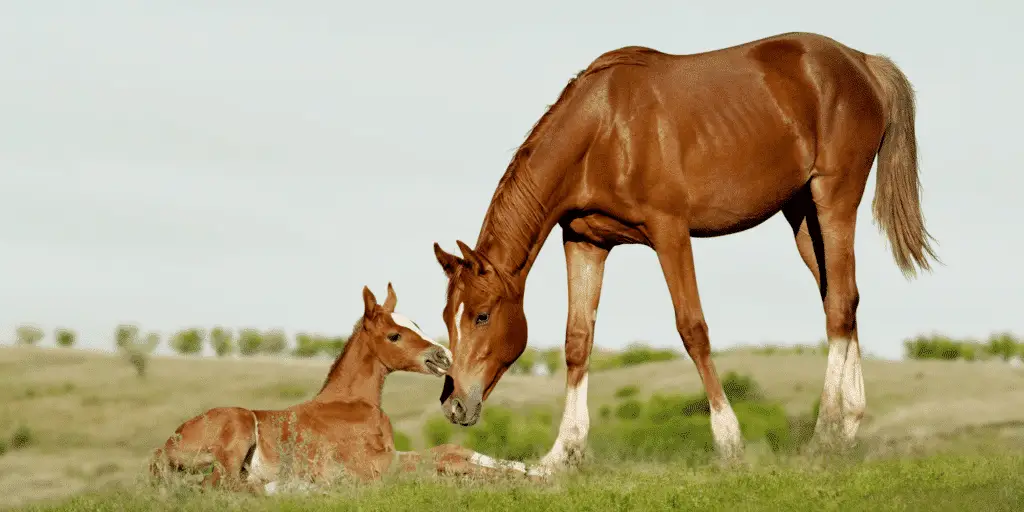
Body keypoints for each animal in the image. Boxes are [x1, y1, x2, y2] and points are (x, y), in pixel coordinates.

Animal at [149, 284, 544, 491]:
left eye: (415, 323)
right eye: (394, 335)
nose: (443, 356)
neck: (353, 405)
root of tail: (163, 448)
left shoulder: (391, 455)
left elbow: (450, 450)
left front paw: (537, 471)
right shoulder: (379, 468)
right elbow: (443, 460)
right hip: (239, 424)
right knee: (226, 485)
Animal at [428, 33, 937, 471]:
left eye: (482, 316)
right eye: (447, 317)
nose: (455, 404)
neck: (604, 131)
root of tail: (862, 62)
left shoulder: (669, 232)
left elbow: (693, 328)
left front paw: (729, 441)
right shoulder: (585, 241)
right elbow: (577, 340)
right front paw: (562, 452)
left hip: (834, 198)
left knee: (839, 304)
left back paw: (825, 430)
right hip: (801, 214)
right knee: (843, 301)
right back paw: (847, 428)